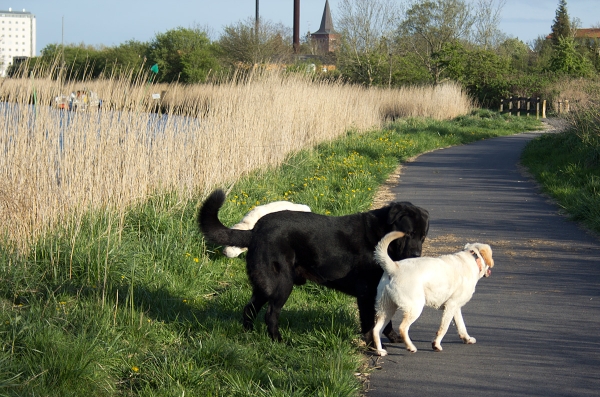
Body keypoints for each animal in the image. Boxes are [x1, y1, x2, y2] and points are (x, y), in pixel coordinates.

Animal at [199, 189, 428, 344]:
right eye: (408, 233)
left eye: (422, 236)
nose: (416, 254)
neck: (381, 237)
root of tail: (254, 231)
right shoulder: (367, 292)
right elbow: (370, 322)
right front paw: (373, 344)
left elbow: (385, 320)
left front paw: (391, 337)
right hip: (281, 284)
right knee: (270, 314)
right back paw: (279, 341)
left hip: (264, 286)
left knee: (249, 309)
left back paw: (248, 334)